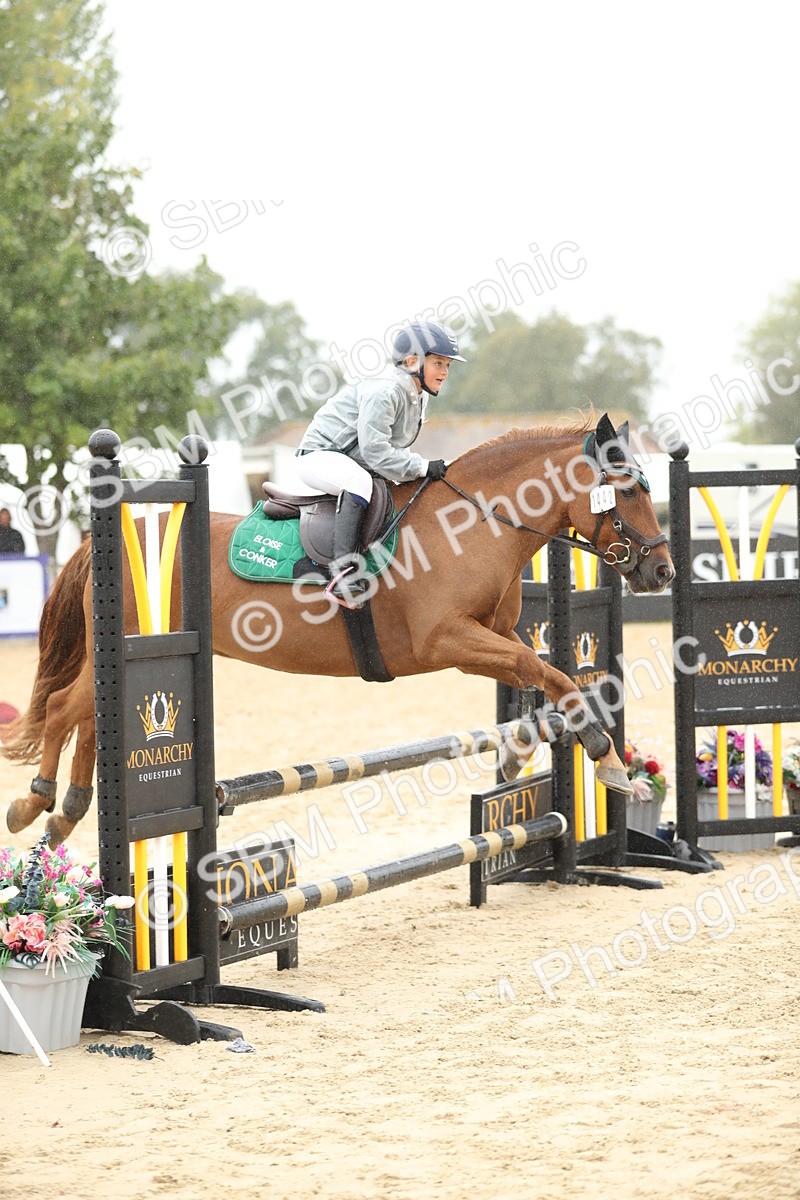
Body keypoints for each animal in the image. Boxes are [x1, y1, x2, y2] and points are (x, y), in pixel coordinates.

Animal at [3, 412, 674, 846]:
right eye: (625, 491)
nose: (662, 570)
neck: (475, 523)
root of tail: (109, 538)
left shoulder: (491, 638)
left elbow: (543, 674)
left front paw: (517, 754)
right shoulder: (447, 641)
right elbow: (550, 674)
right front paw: (609, 761)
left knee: (90, 717)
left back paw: (66, 813)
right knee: (64, 708)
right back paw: (33, 804)